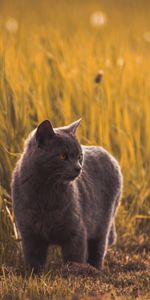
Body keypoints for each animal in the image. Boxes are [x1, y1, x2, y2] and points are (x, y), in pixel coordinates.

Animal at [10, 119, 123, 272]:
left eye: (80, 156)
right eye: (63, 156)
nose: (78, 168)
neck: (45, 194)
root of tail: (109, 155)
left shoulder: (76, 232)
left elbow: (74, 258)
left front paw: (75, 272)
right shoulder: (29, 235)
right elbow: (34, 261)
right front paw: (34, 274)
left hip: (102, 225)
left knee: (98, 249)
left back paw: (96, 270)